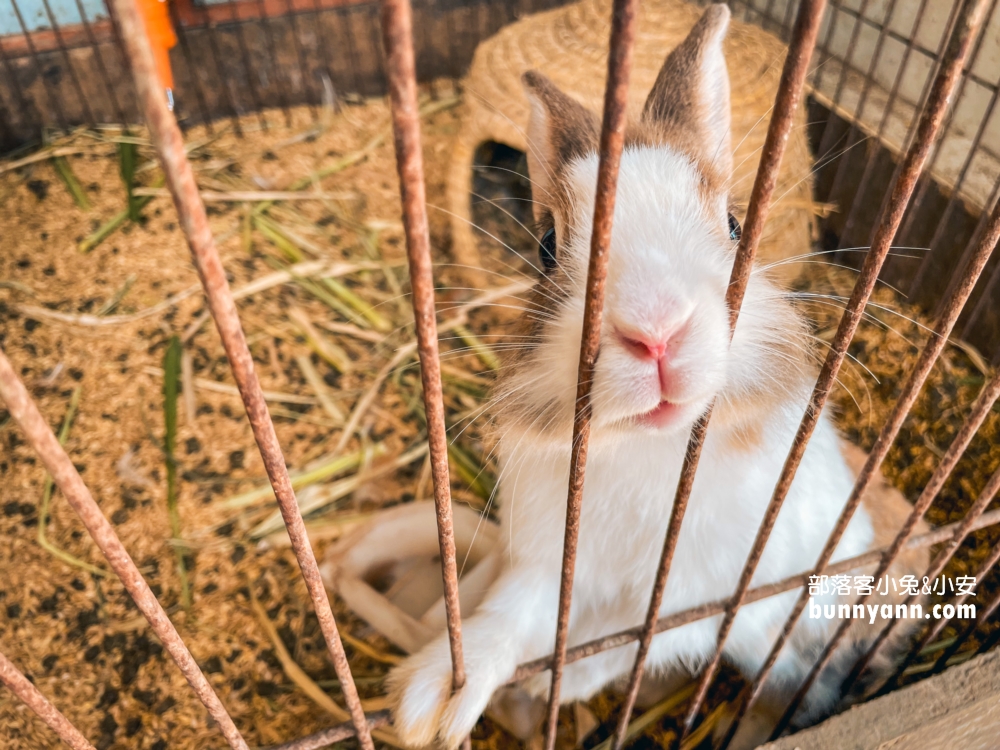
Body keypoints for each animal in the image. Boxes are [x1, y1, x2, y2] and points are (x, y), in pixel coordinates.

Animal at [388, 4, 928, 748]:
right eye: (546, 247)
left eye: (735, 225)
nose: (656, 330)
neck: (651, 446)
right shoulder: (548, 564)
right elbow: (509, 619)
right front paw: (431, 701)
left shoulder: (713, 598)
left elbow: (626, 644)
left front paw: (558, 687)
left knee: (797, 686)